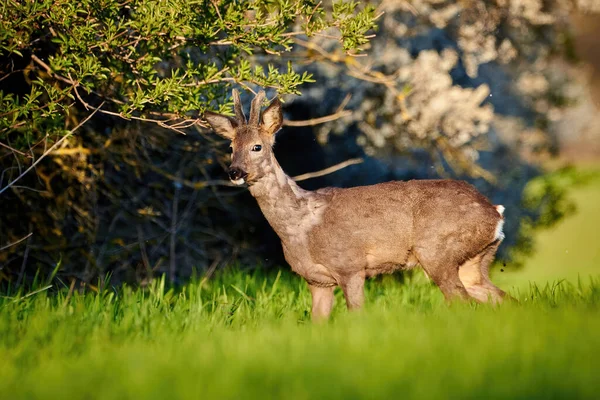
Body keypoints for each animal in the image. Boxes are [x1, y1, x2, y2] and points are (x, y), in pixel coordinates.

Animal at [204, 90, 508, 318]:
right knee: (502, 298)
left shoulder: (350, 266)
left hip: (437, 250)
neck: (301, 225)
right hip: (473, 260)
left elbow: (356, 315)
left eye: (257, 146)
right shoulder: (316, 280)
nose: (235, 172)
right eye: (230, 147)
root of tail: (495, 213)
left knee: (461, 300)